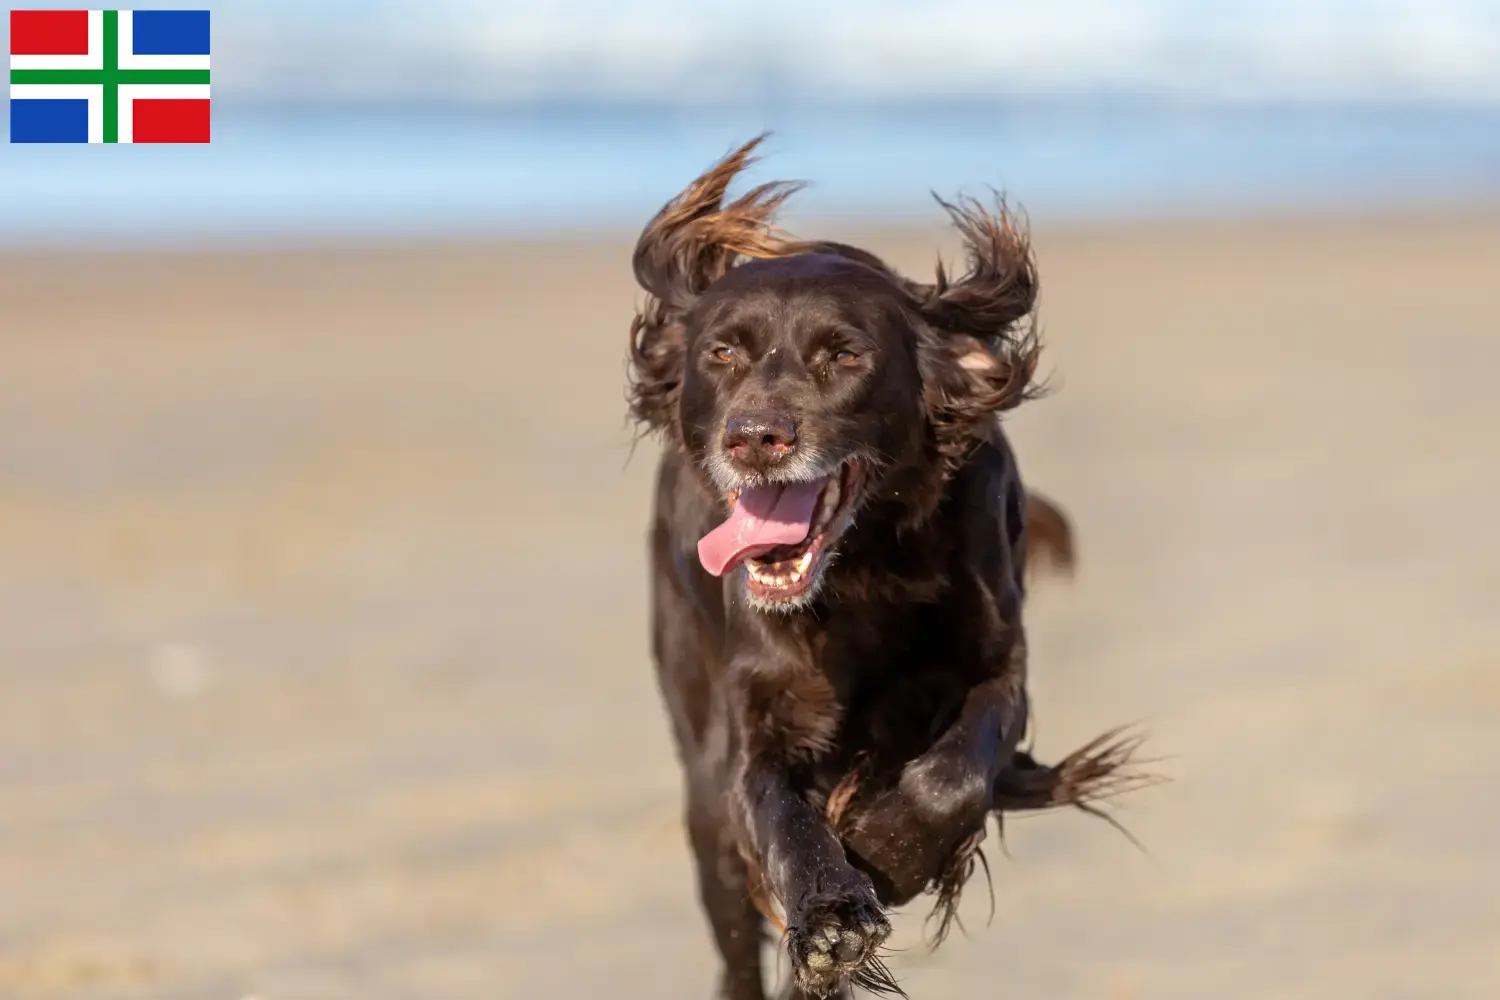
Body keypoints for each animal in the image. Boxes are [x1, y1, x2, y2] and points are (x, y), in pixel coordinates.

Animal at [627, 134, 1140, 1000]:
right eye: (721, 352)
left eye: (844, 355)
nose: (753, 437)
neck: (863, 571)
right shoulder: (752, 729)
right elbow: (781, 818)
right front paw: (831, 917)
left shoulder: (1001, 669)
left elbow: (954, 773)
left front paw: (887, 849)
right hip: (698, 776)